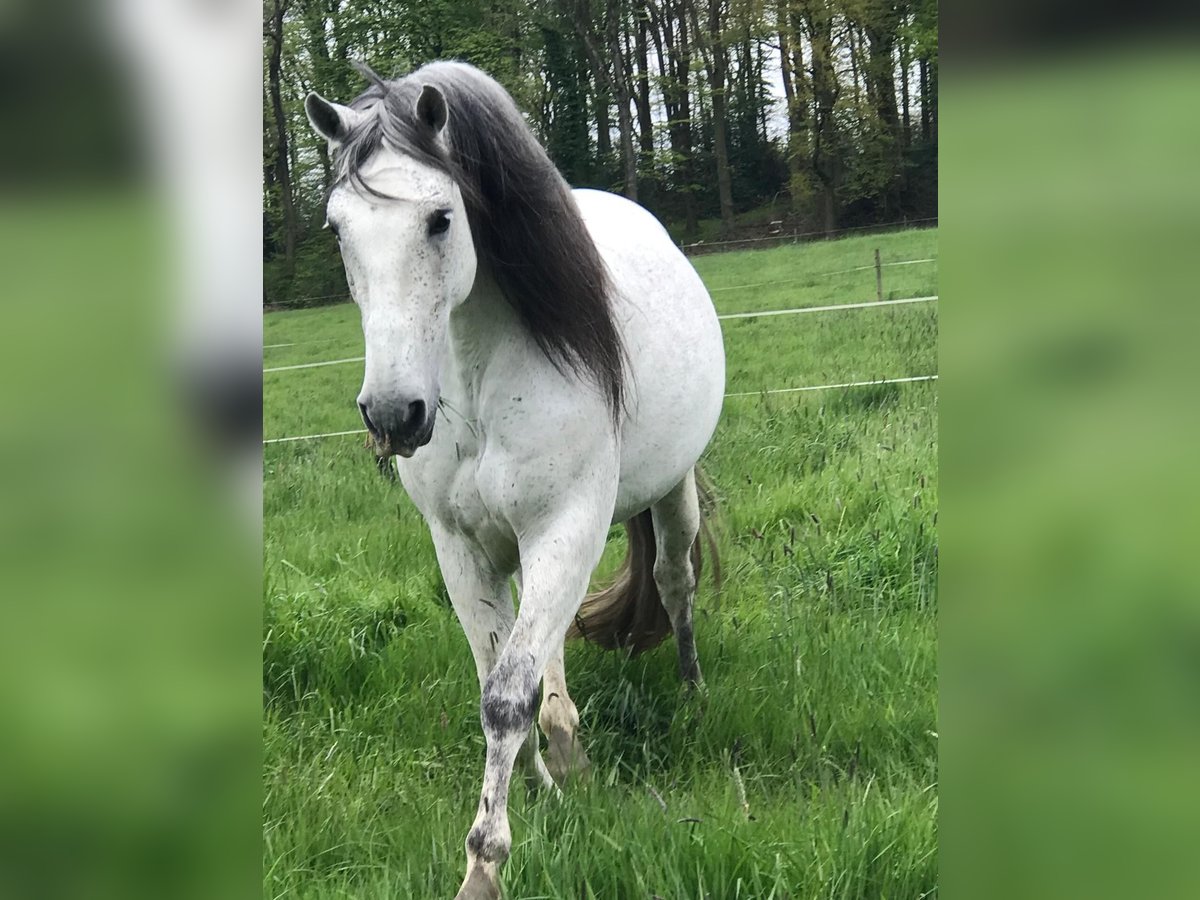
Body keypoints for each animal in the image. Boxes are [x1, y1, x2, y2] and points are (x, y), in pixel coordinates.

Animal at [304, 60, 724, 897]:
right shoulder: (462, 547)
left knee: (674, 582)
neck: (478, 380)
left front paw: (486, 863)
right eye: (338, 230)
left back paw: (692, 690)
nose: (393, 413)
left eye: (440, 219)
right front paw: (543, 785)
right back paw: (567, 743)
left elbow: (504, 696)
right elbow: (500, 675)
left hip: (673, 492)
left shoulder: (565, 525)